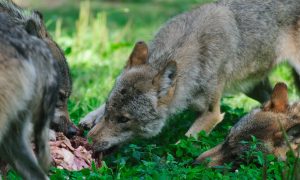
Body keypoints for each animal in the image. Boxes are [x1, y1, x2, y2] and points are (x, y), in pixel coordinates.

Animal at [79, 0, 300, 156]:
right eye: (108, 110)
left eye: (124, 119)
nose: (88, 142)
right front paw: (90, 117)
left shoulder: (212, 114)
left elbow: (183, 141)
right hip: (254, 88)